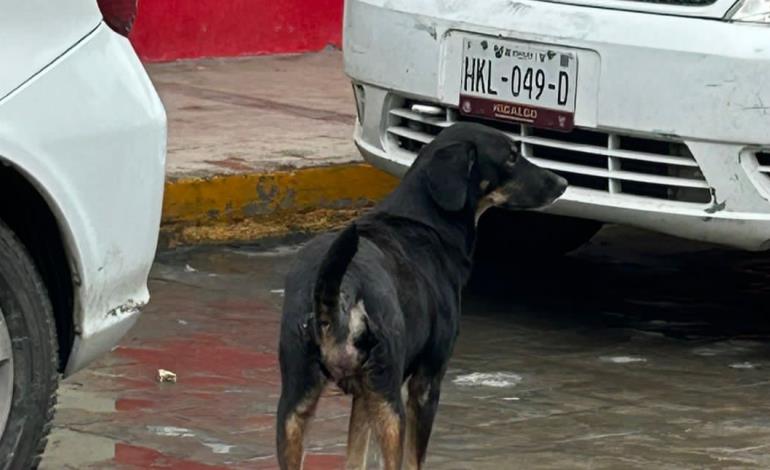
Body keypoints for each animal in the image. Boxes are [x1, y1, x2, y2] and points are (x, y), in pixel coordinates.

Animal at [276, 123, 564, 468]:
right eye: (510, 157)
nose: (563, 183)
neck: (426, 218)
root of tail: (344, 287)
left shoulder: (362, 396)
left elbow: (355, 457)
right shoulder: (426, 383)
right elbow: (416, 459)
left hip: (294, 406)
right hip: (389, 402)